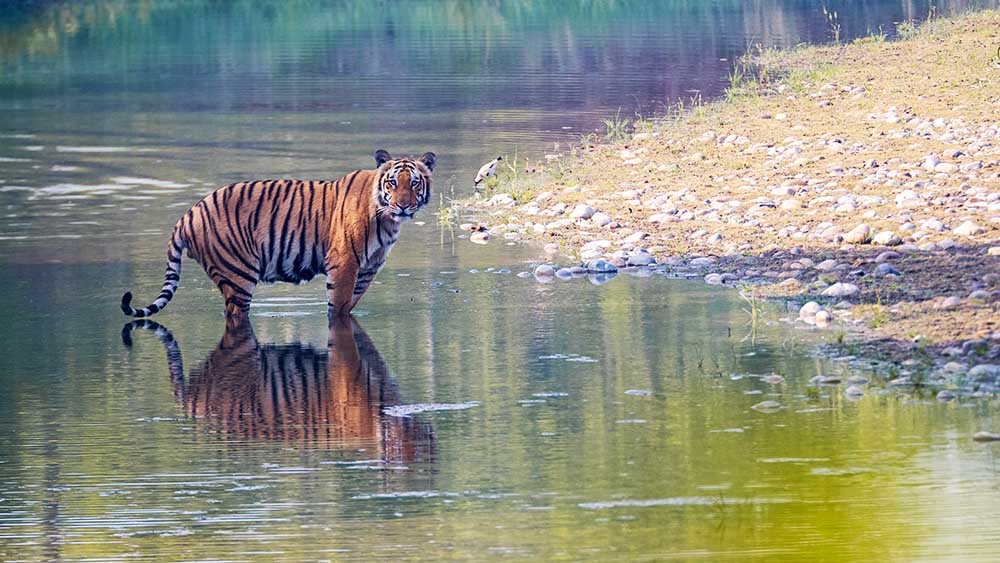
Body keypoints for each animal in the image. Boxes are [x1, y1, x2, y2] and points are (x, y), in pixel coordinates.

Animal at [120, 149, 434, 318]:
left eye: (414, 183)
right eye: (392, 183)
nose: (402, 205)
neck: (387, 220)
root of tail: (189, 213)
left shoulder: (367, 269)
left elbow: (348, 307)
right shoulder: (344, 263)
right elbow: (338, 307)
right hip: (238, 275)